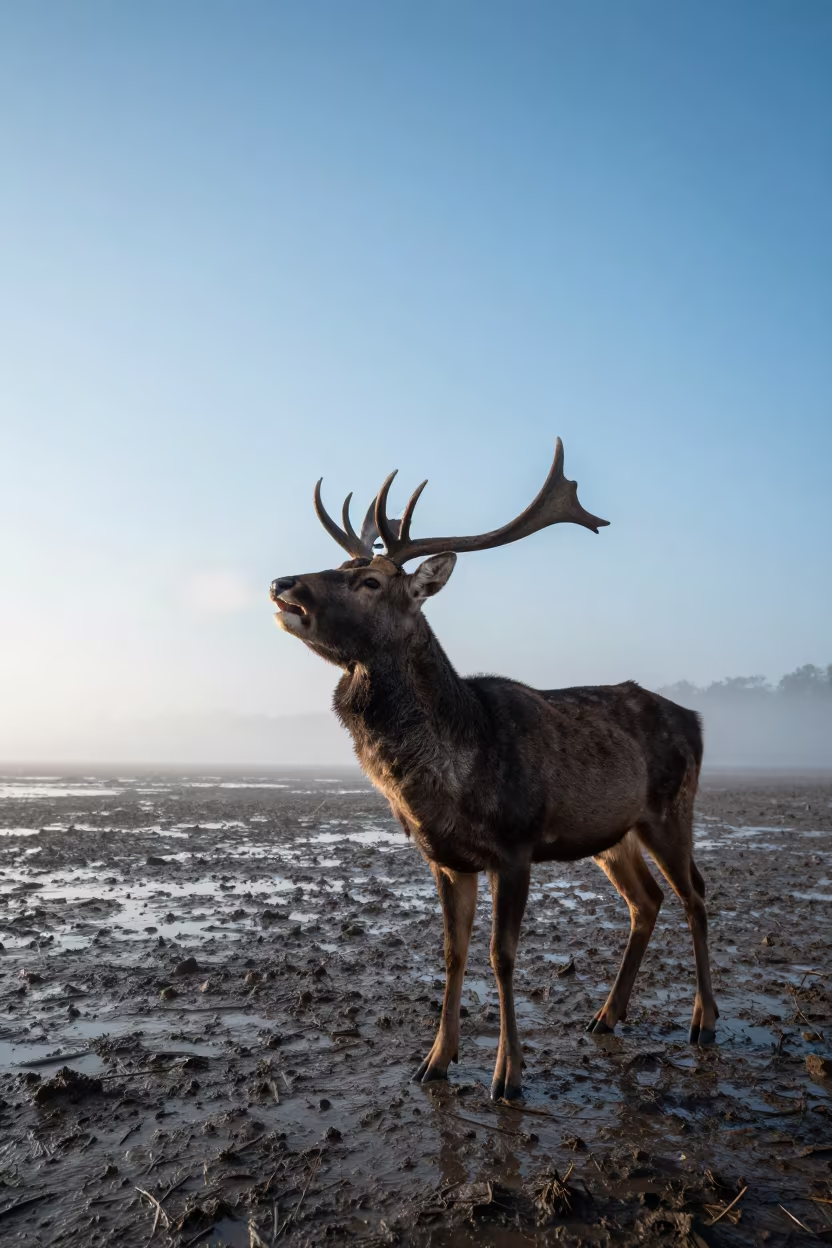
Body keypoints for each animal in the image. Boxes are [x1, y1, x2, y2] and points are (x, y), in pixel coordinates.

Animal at [270, 439, 717, 1101]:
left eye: (371, 580)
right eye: (339, 563)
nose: (283, 582)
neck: (449, 777)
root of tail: (697, 719)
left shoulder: (515, 844)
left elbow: (500, 955)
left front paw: (509, 1076)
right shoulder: (447, 857)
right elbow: (452, 953)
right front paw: (436, 1059)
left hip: (671, 807)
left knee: (696, 896)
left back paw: (704, 1022)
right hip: (613, 834)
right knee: (648, 900)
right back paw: (607, 1015)